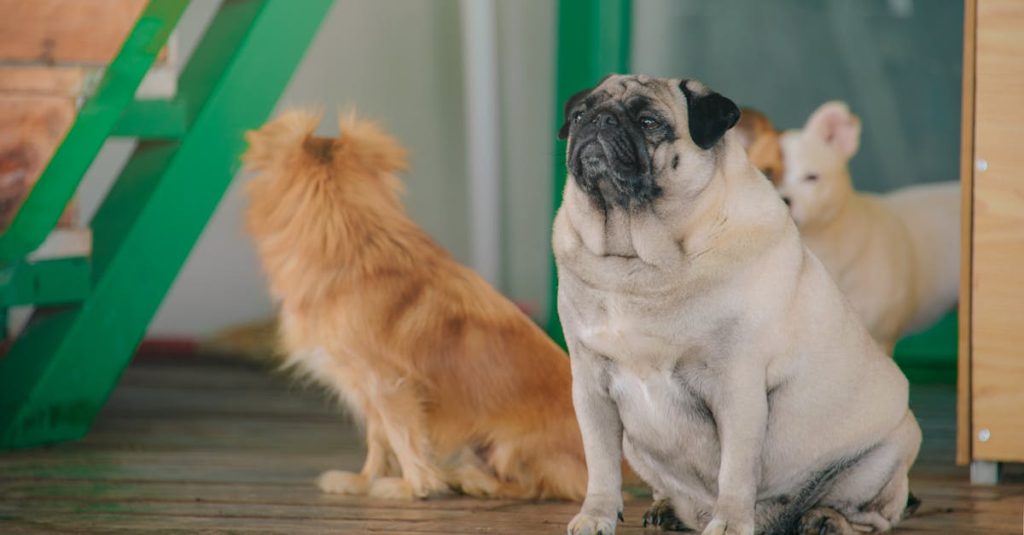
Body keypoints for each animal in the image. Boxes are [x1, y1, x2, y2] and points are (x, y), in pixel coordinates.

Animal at [242, 111, 589, 500]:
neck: (355, 248)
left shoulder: (388, 386)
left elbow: (403, 438)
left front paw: (412, 487)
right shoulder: (367, 391)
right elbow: (378, 440)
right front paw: (362, 480)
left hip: (509, 446)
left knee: (533, 487)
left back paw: (475, 481)